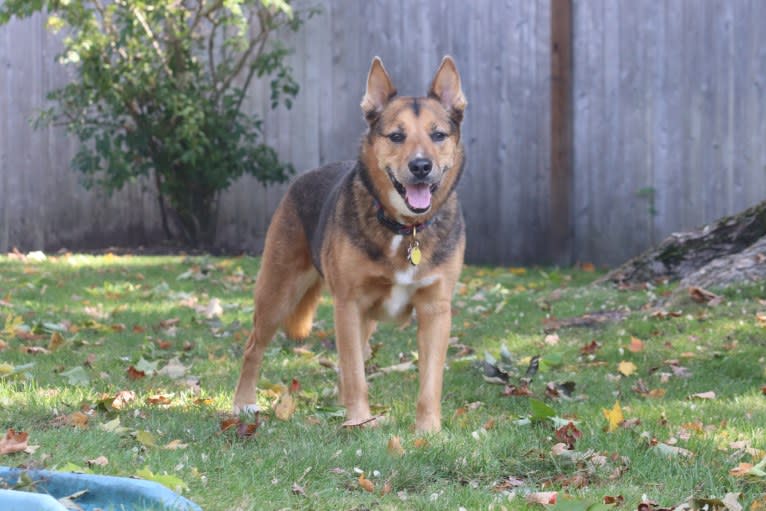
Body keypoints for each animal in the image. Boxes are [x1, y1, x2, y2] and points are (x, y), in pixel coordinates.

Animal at [231, 55, 468, 432]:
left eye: (438, 135)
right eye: (396, 136)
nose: (421, 166)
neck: (405, 231)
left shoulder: (435, 310)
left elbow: (430, 381)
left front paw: (428, 431)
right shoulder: (348, 305)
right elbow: (356, 373)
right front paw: (359, 420)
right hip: (277, 296)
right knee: (254, 347)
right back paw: (243, 402)